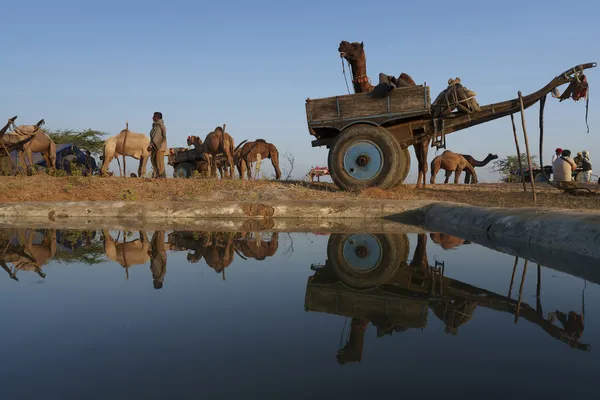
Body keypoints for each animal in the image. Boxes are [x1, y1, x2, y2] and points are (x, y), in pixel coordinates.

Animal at [338, 40, 432, 188]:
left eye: (355, 46)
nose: (341, 44)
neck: (368, 90)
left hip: (423, 137)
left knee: (423, 162)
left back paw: (421, 186)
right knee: (422, 162)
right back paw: (419, 185)